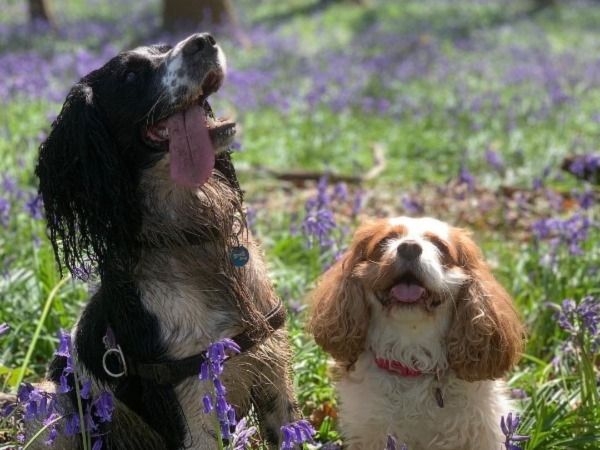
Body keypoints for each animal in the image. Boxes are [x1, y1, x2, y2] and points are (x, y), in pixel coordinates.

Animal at [34, 33, 296, 448]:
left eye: (165, 47)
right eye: (129, 76)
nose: (204, 40)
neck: (188, 238)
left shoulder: (274, 373)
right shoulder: (191, 405)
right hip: (53, 408)